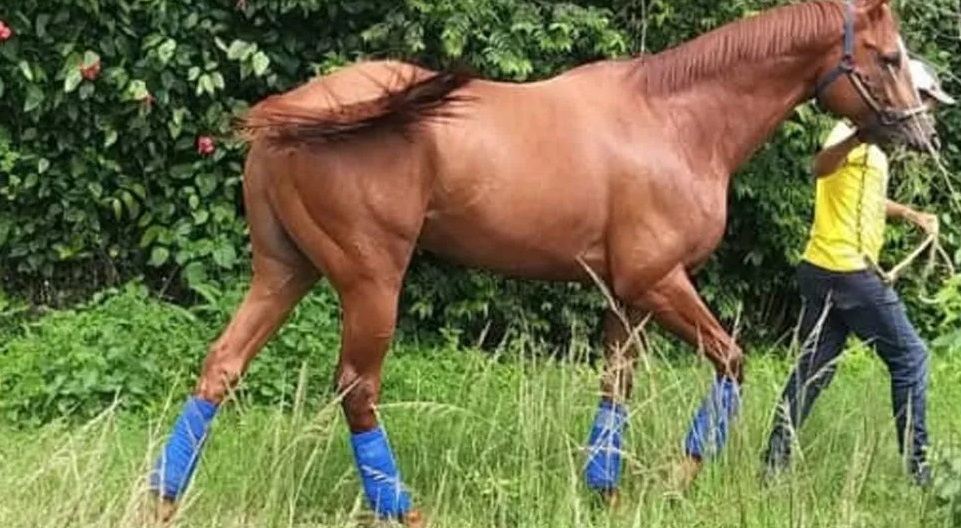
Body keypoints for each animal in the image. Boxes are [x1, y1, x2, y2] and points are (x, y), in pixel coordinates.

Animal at [145, 0, 939, 525]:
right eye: (890, 57)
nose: (922, 134)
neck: (672, 120)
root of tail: (292, 109)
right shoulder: (659, 282)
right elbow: (731, 362)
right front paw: (679, 477)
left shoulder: (625, 295)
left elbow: (615, 387)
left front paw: (608, 490)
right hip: (370, 280)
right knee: (356, 388)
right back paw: (403, 509)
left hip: (284, 273)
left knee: (221, 366)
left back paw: (162, 497)